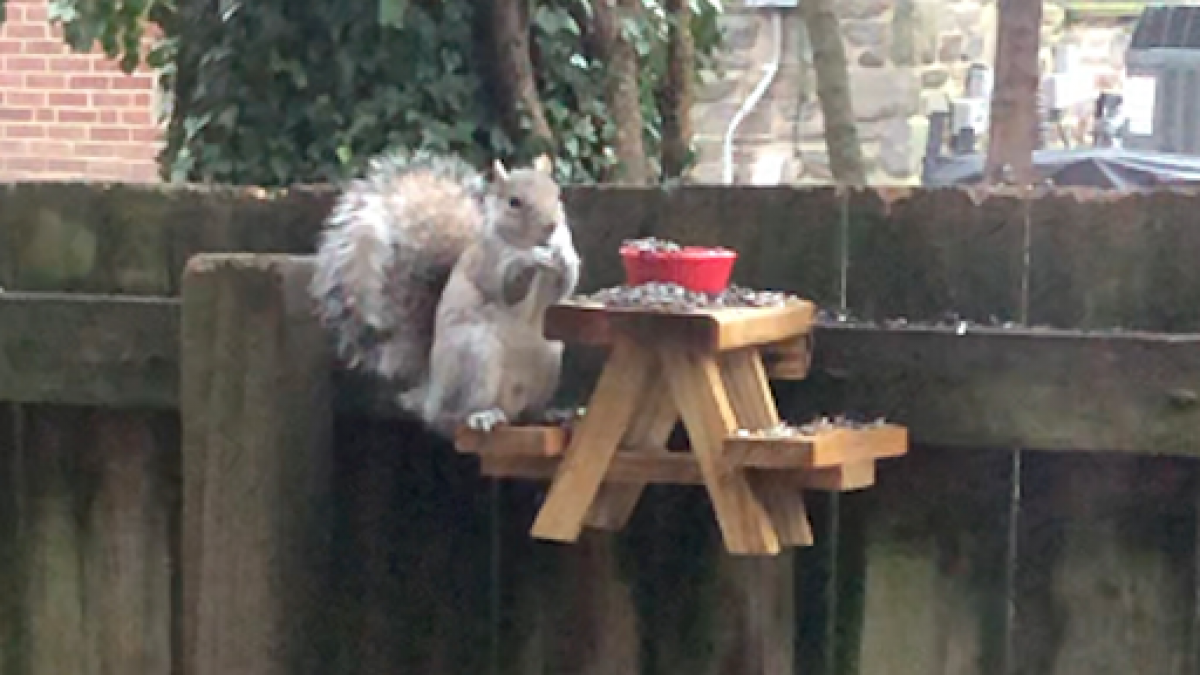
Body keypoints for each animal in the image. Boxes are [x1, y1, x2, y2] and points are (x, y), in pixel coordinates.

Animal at [312, 149, 578, 437]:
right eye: (514, 202)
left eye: (557, 194)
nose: (552, 225)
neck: (523, 242)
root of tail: (430, 397)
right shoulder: (486, 263)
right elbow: (509, 289)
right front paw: (530, 259)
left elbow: (561, 289)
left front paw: (564, 257)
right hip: (477, 357)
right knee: (456, 417)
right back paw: (483, 415)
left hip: (551, 357)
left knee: (527, 412)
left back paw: (550, 414)